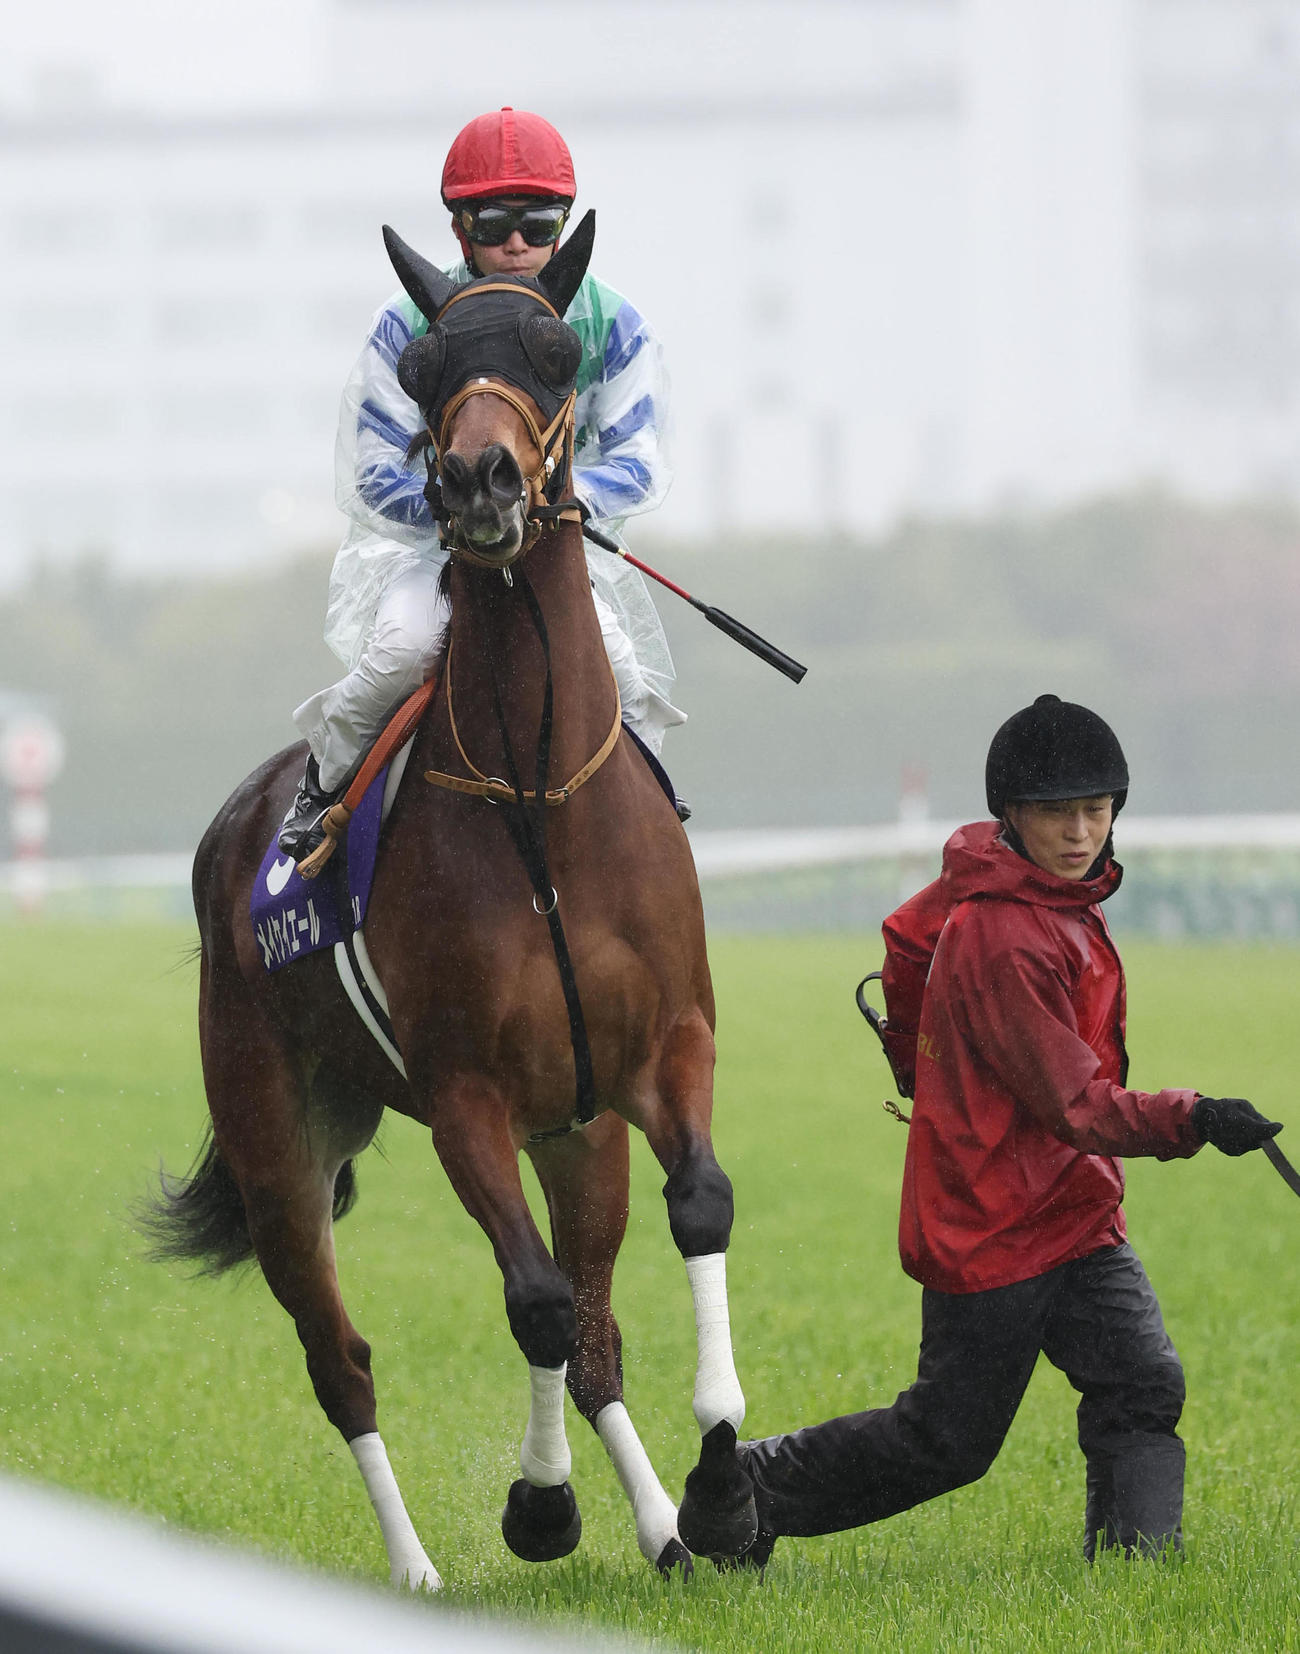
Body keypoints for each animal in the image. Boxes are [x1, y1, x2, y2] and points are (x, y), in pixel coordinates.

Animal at [144, 211, 758, 1589]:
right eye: (424, 365)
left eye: (553, 348)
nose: (479, 481)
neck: (539, 798)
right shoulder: (464, 1092)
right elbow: (529, 1301)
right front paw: (540, 1506)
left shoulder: (656, 1052)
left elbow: (690, 1213)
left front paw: (716, 1488)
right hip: (280, 1142)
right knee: (344, 1361)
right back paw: (417, 1566)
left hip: (575, 1132)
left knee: (596, 1337)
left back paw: (659, 1527)